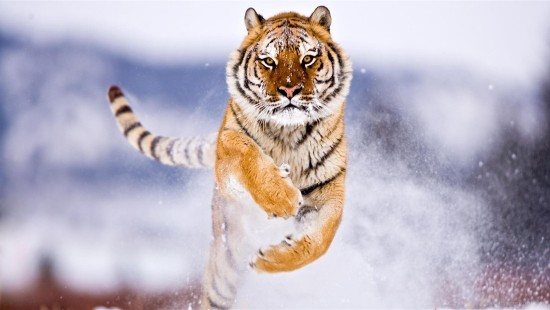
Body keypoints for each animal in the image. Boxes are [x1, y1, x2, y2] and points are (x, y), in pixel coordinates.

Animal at [106, 6, 354, 308]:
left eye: (308, 58)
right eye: (269, 61)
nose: (289, 90)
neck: (288, 132)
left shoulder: (329, 190)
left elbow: (321, 240)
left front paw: (269, 259)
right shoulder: (227, 152)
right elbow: (246, 152)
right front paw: (282, 198)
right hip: (224, 269)